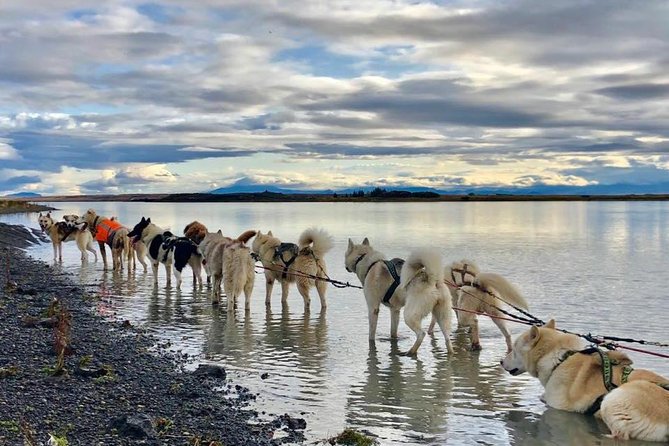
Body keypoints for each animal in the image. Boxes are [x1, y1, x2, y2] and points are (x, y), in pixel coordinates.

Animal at [500, 320, 668, 442]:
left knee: (621, 434)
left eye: (514, 350)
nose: (501, 361)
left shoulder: (556, 404)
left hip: (613, 399)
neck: (559, 359)